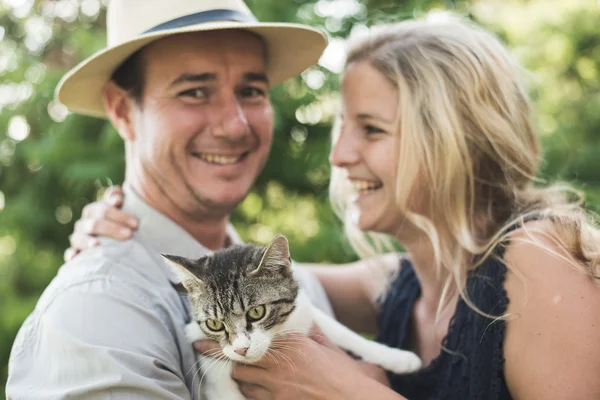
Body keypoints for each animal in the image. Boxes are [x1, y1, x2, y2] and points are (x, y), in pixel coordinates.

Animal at [162, 234, 420, 400]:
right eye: (214, 324)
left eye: (256, 312)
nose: (241, 349)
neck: (278, 331)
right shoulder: (215, 375)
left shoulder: (304, 309)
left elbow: (340, 330)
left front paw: (398, 358)